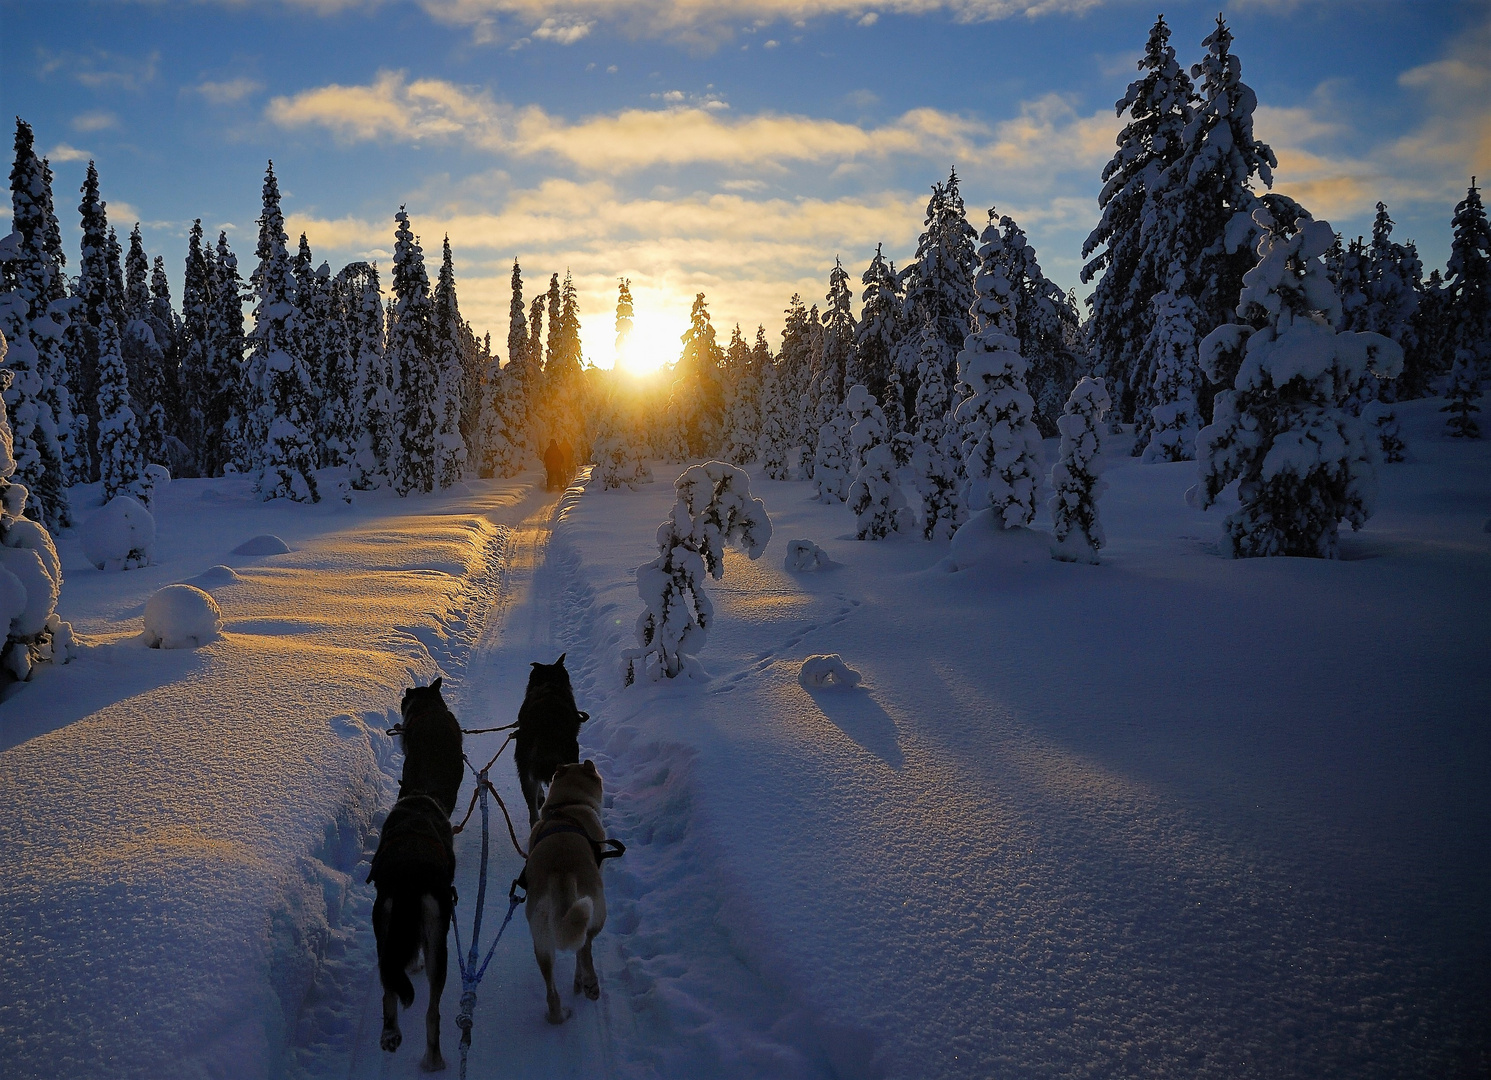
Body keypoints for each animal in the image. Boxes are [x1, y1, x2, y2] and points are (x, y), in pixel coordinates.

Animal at [524, 760, 611, 1020]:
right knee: (584, 947)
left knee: (551, 991)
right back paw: (587, 983)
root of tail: (560, 874)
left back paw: (559, 1014)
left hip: (541, 940)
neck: (568, 805)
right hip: (596, 909)